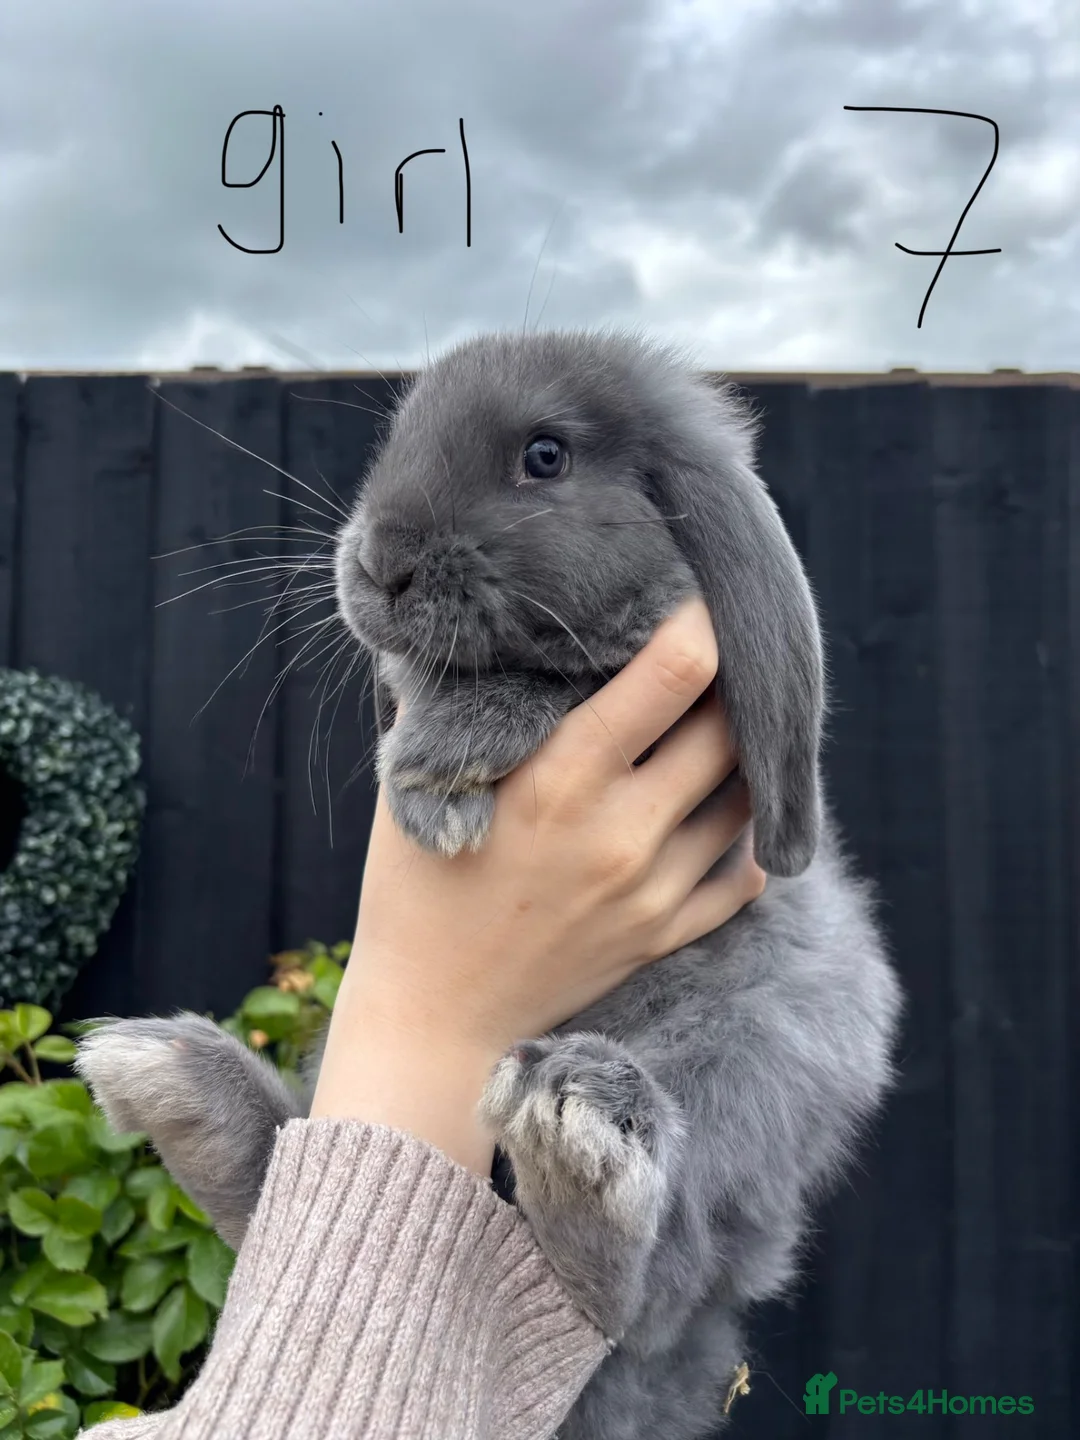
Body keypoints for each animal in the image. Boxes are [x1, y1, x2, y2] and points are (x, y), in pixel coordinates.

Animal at [77, 328, 903, 1440]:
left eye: (545, 456)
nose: (379, 563)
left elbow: (555, 682)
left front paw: (435, 769)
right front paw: (434, 770)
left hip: (742, 1083)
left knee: (626, 1294)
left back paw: (579, 1127)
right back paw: (174, 1078)